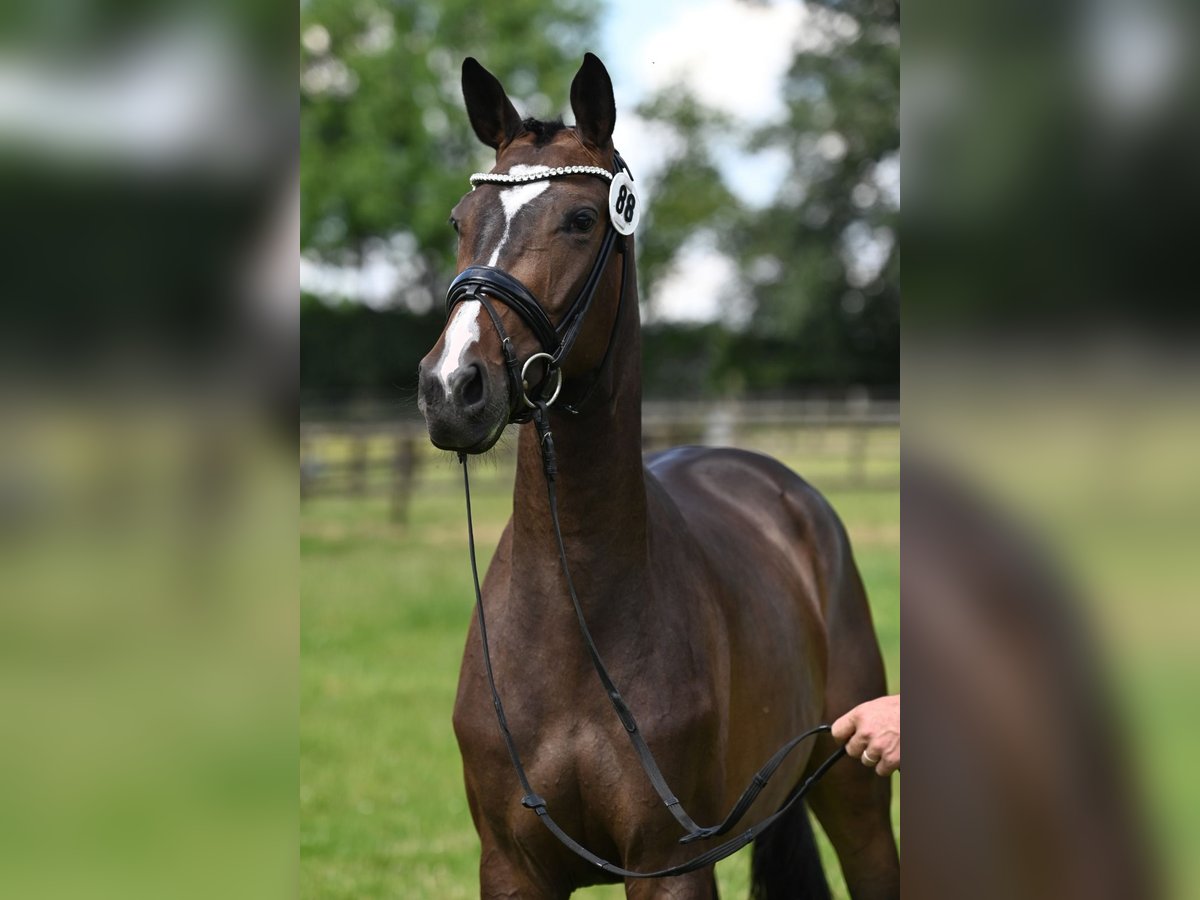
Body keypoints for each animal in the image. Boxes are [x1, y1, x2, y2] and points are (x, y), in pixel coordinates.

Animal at [417, 52, 897, 897]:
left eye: (582, 220)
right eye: (459, 220)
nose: (451, 388)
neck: (572, 621)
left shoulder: (668, 866)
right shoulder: (511, 866)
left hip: (858, 797)